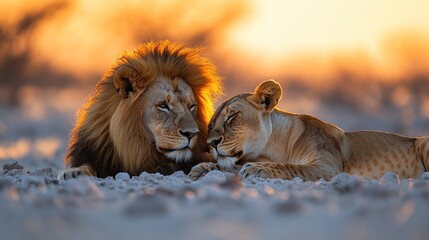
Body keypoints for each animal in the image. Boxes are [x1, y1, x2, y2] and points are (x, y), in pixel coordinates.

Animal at [57, 41, 222, 180]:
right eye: (163, 105)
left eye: (191, 106)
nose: (192, 134)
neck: (138, 148)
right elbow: (86, 165)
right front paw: (73, 172)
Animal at [188, 79, 428, 181]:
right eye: (210, 125)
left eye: (232, 117)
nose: (211, 144)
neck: (271, 149)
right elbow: (229, 166)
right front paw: (202, 169)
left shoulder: (327, 167)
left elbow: (291, 167)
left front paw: (257, 169)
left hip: (423, 143)